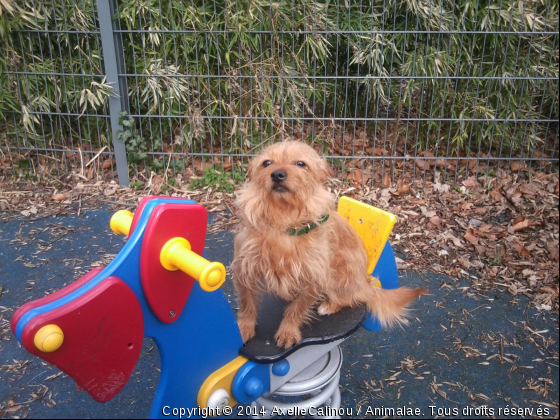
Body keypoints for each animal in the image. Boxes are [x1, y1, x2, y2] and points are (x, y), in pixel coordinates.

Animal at [233, 141, 424, 348]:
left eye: (300, 163)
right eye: (267, 163)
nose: (277, 174)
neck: (284, 220)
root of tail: (364, 282)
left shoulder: (315, 277)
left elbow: (297, 309)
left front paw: (288, 331)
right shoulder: (244, 269)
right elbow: (246, 303)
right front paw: (243, 328)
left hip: (339, 273)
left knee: (352, 297)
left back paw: (329, 305)